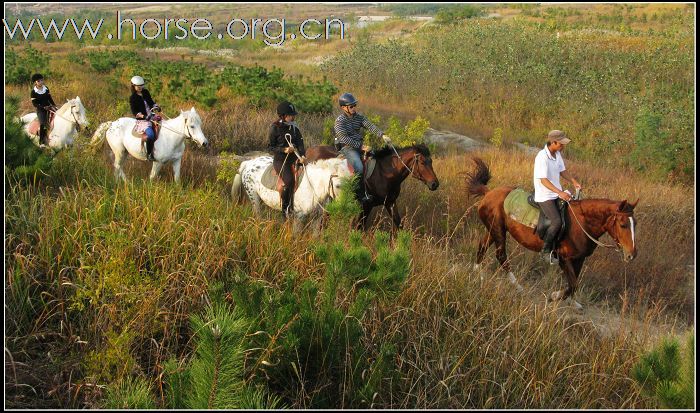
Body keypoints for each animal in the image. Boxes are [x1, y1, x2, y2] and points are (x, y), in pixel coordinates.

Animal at [304, 144, 440, 229]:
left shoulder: (390, 202)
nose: (435, 184)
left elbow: (399, 224)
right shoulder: (366, 205)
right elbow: (359, 227)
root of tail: (309, 152)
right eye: (422, 162)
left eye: (431, 161)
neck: (385, 172)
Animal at [464, 158, 640, 308]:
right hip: (498, 231)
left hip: (494, 229)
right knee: (501, 256)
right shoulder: (564, 258)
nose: (631, 255)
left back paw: (477, 272)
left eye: (635, 224)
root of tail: (489, 192)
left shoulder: (579, 259)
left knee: (482, 246)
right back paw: (517, 286)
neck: (582, 222)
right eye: (623, 224)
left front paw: (572, 302)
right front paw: (555, 296)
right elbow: (573, 284)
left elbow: (574, 282)